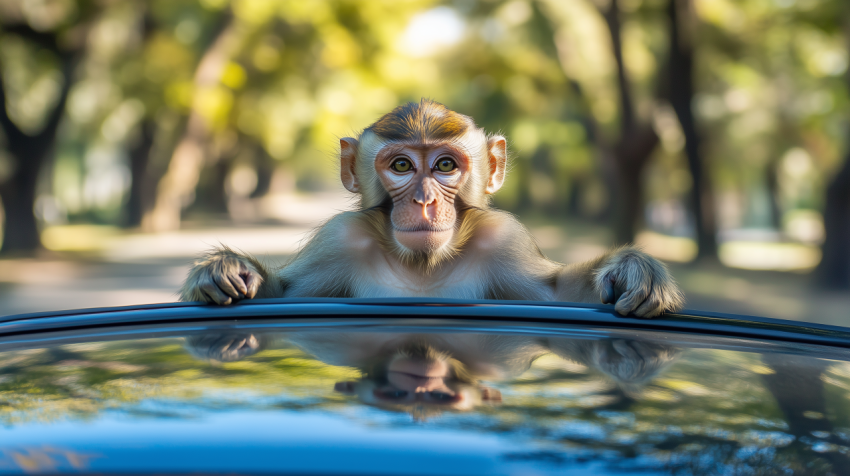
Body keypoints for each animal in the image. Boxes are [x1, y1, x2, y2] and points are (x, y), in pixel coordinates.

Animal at [179, 98, 684, 318]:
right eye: (402, 166)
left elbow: (560, 293)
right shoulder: (340, 238)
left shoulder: (504, 238)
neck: (423, 265)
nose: (423, 201)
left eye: (444, 165)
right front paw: (227, 270)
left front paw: (633, 271)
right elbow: (287, 293)